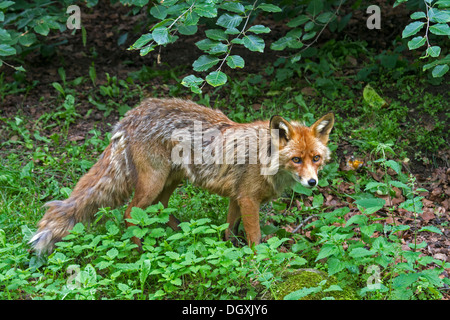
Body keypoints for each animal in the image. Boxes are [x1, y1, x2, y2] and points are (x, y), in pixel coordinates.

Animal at [29, 99, 334, 254]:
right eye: (296, 160)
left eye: (316, 159)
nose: (312, 182)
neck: (264, 158)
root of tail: (130, 115)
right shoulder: (248, 199)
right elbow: (256, 238)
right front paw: (259, 263)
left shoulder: (236, 197)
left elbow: (229, 230)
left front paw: (229, 251)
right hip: (153, 182)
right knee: (130, 214)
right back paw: (142, 252)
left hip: (171, 182)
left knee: (160, 211)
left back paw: (177, 235)